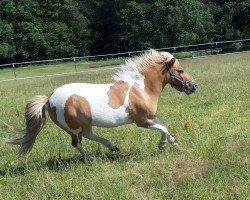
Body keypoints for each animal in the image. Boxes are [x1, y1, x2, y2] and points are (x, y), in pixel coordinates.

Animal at [5, 50, 196, 156]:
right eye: (180, 70)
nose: (193, 86)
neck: (140, 88)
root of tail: (49, 98)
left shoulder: (151, 116)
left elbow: (165, 127)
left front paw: (176, 144)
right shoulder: (141, 121)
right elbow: (162, 129)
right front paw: (162, 146)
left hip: (85, 123)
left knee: (89, 135)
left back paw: (112, 147)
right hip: (72, 128)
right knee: (77, 143)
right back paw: (91, 158)